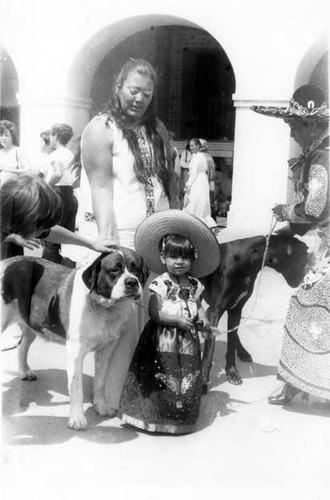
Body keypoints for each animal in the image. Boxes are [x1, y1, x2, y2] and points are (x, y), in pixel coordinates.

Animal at [0, 249, 147, 430]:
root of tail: (7, 262)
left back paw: (25, 371)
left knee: (22, 345)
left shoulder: (106, 350)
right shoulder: (75, 353)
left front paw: (101, 406)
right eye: (114, 269)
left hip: (32, 324)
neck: (104, 307)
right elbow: (76, 387)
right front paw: (77, 418)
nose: (132, 282)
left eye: (136, 269)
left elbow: (100, 382)